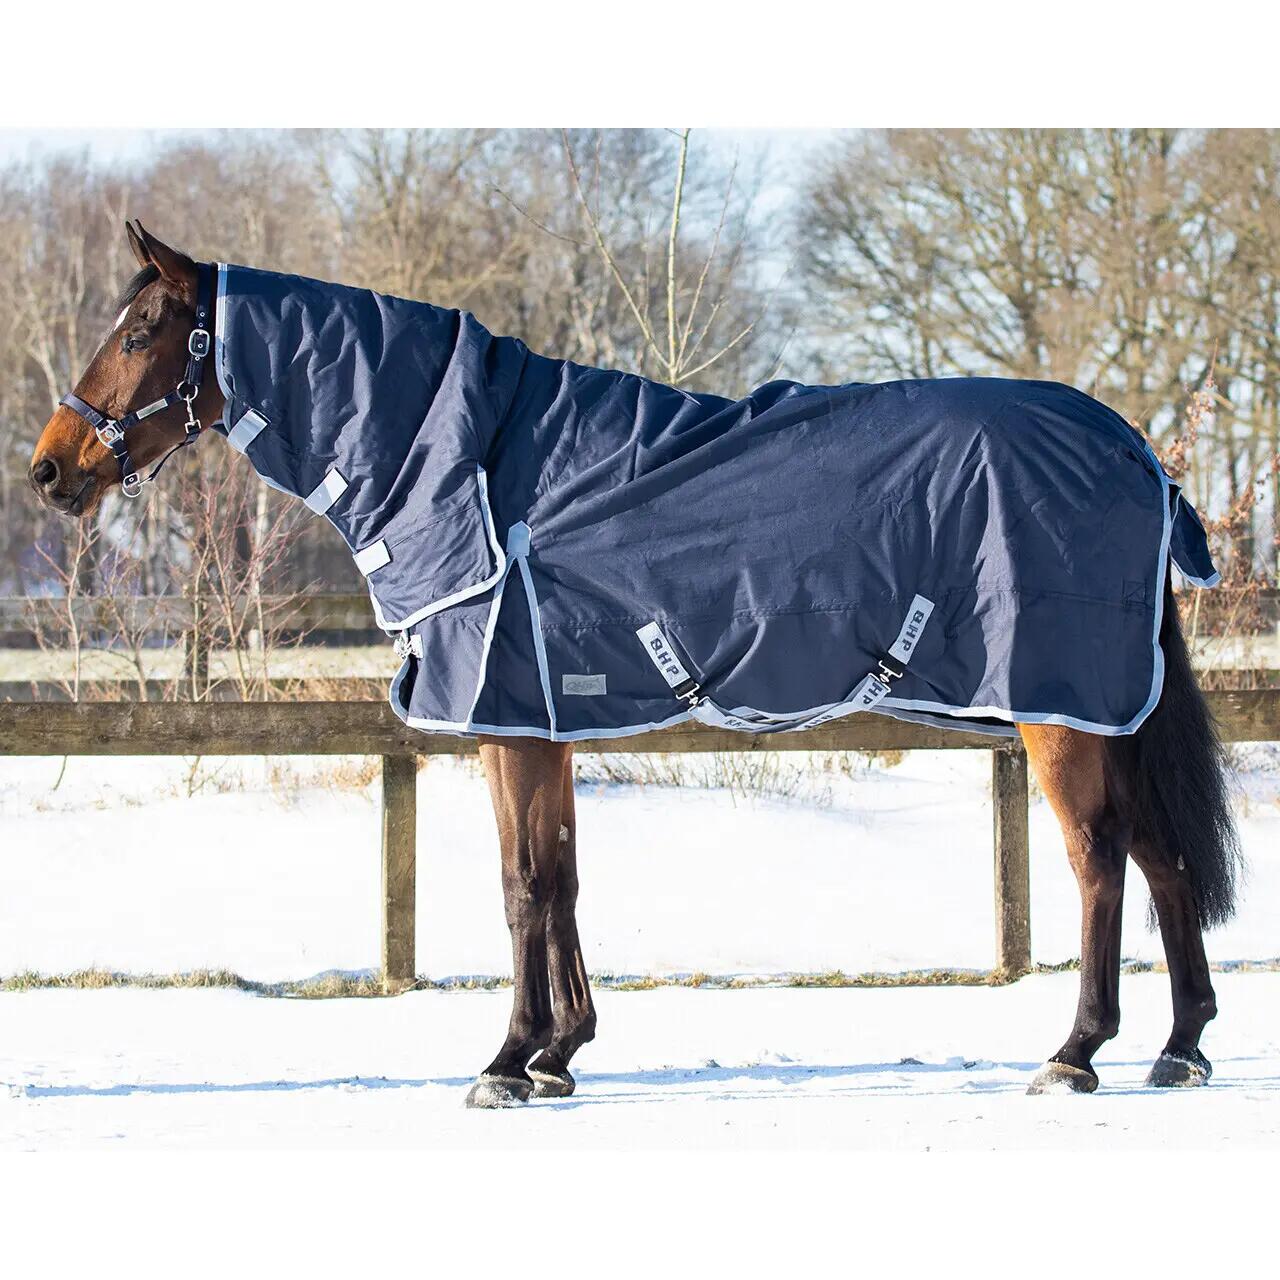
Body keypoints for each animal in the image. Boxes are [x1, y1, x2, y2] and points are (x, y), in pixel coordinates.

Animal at [28, 222, 1240, 1108]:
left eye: (142, 327)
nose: (49, 467)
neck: (479, 470)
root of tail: (1136, 451)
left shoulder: (509, 724)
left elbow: (520, 886)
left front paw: (505, 1062)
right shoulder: (546, 722)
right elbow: (557, 873)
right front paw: (560, 1052)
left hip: (1060, 709)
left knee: (1099, 860)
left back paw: (1076, 1051)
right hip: (1103, 709)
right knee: (1162, 854)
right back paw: (1178, 1046)